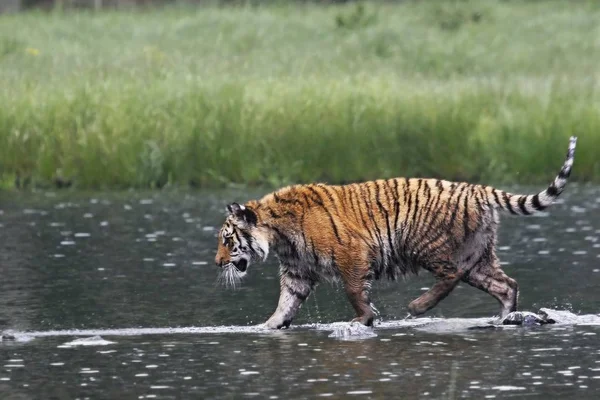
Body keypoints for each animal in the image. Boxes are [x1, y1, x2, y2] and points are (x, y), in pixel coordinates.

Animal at [214, 136, 576, 330]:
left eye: (227, 240)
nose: (217, 263)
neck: (278, 234)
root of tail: (476, 189)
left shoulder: (352, 254)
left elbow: (354, 291)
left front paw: (363, 320)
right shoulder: (297, 273)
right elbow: (285, 304)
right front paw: (267, 327)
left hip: (427, 245)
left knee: (451, 275)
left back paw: (418, 306)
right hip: (478, 257)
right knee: (506, 285)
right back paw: (504, 319)